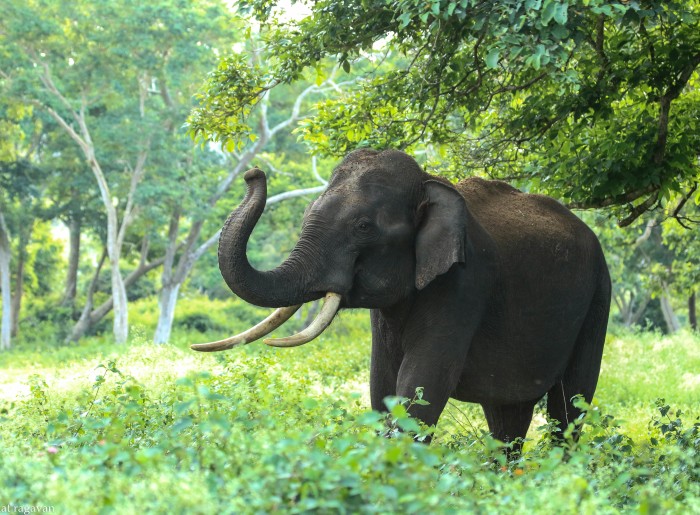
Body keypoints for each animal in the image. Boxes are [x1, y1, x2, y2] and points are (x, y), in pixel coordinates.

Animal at [193, 147, 612, 450]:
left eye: (363, 227)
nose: (253, 173)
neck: (430, 183)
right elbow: (383, 385)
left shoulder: (464, 284)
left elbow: (421, 385)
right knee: (507, 418)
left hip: (599, 297)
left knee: (570, 406)